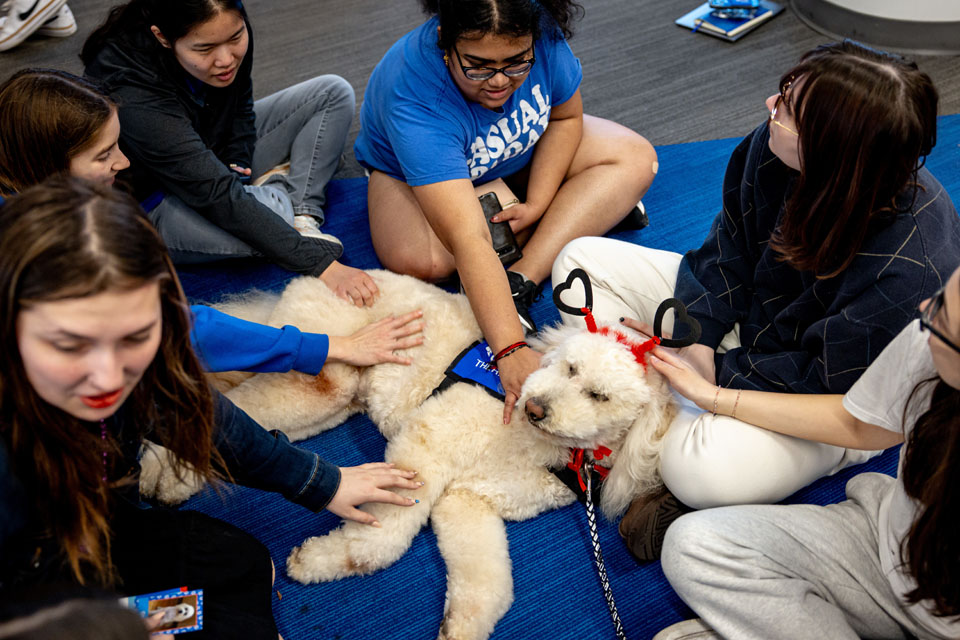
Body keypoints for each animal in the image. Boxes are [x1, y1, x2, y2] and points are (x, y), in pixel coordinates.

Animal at [142, 270, 676, 640]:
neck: (543, 447)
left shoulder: (468, 500)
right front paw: (321, 559)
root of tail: (323, 274)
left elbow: (488, 584)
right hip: (319, 374)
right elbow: (382, 536)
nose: (535, 406)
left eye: (598, 395)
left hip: (331, 401)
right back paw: (156, 471)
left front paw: (459, 630)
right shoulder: (427, 444)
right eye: (568, 367)